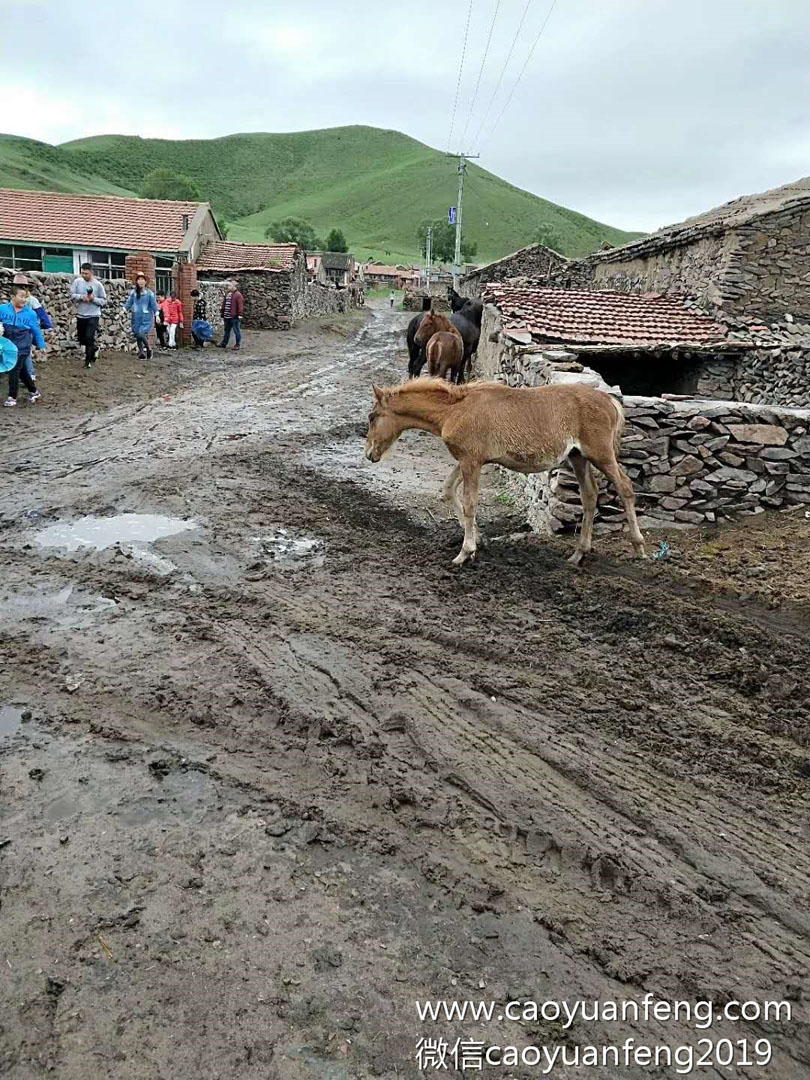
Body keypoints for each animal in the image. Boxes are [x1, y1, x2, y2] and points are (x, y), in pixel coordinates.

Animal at [367, 378, 648, 570]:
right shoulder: (469, 460)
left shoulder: (471, 461)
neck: (455, 410)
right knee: (589, 495)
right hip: (578, 457)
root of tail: (609, 400)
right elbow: (448, 491)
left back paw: (639, 547)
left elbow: (470, 503)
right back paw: (578, 554)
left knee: (625, 487)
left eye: (372, 416)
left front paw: (464, 552)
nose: (369, 454)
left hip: (600, 454)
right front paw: (479, 541)